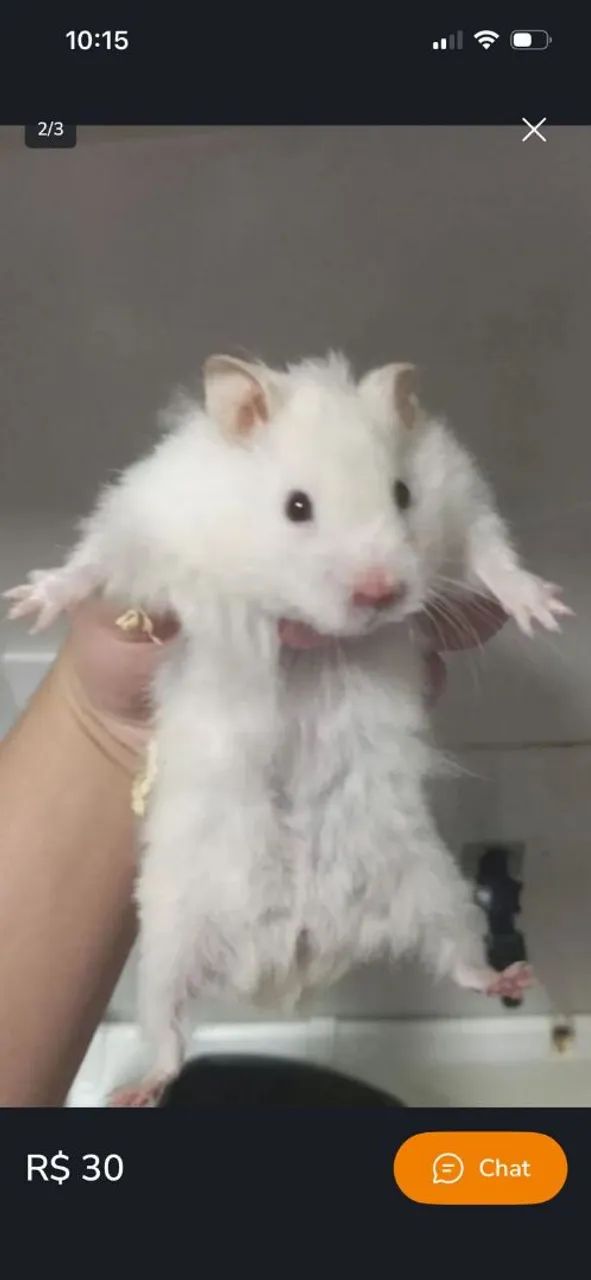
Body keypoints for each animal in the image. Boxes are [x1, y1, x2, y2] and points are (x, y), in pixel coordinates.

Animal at [5, 352, 570, 1106]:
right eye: (296, 506)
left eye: (402, 494)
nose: (380, 594)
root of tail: (298, 954)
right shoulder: (142, 519)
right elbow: (90, 566)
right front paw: (29, 604)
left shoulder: (464, 503)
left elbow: (494, 557)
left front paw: (547, 612)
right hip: (166, 945)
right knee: (169, 1034)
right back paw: (140, 1091)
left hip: (436, 890)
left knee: (460, 961)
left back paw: (512, 975)